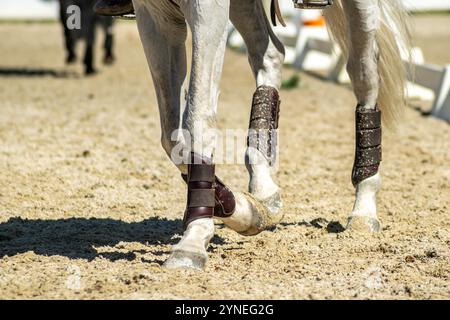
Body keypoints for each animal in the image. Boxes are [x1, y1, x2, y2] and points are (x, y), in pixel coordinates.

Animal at [131, 0, 412, 270]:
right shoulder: (153, 14)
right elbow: (172, 138)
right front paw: (244, 210)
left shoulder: (206, 9)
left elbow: (197, 117)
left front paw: (192, 242)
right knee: (269, 53)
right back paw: (265, 191)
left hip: (360, 13)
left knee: (364, 72)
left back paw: (364, 210)